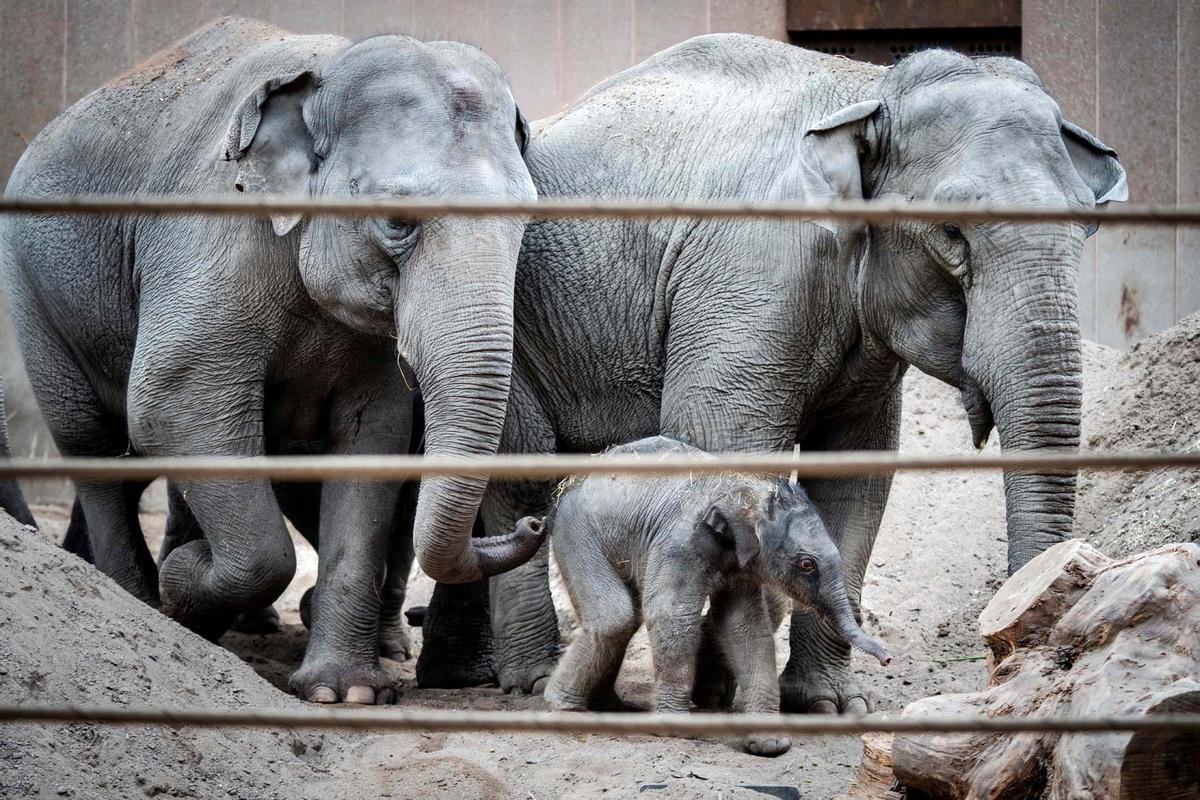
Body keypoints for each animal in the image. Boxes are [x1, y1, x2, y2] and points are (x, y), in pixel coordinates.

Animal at [3, 18, 540, 705]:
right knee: (91, 446)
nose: (531, 526)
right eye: (398, 221)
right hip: (35, 293)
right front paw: (184, 585)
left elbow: (373, 440)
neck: (327, 77)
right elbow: (171, 405)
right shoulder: (210, 243)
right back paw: (140, 600)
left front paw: (345, 693)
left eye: (528, 224)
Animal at [427, 35, 1128, 705]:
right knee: (523, 472)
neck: (870, 89)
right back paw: (530, 679)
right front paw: (720, 693)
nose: (1011, 656)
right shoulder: (749, 281)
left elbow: (856, 479)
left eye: (1088, 228)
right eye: (952, 233)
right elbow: (728, 448)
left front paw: (825, 704)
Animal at [535, 438, 892, 758]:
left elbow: (744, 626)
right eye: (806, 564)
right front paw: (676, 729)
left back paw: (609, 707)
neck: (739, 486)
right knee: (615, 617)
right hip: (578, 537)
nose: (887, 659)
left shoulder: (741, 566)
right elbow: (672, 614)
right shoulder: (679, 542)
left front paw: (769, 745)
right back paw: (565, 708)